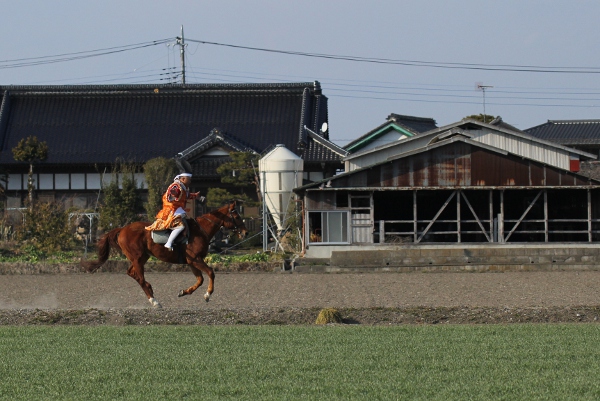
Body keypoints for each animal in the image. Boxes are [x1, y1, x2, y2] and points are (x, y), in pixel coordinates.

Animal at [81, 200, 247, 306]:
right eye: (236, 216)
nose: (245, 232)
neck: (201, 230)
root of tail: (122, 229)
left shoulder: (192, 262)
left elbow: (200, 280)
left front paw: (184, 292)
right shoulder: (195, 259)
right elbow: (211, 273)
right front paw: (207, 295)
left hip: (142, 257)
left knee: (132, 273)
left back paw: (151, 290)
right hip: (137, 258)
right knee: (140, 278)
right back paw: (154, 301)